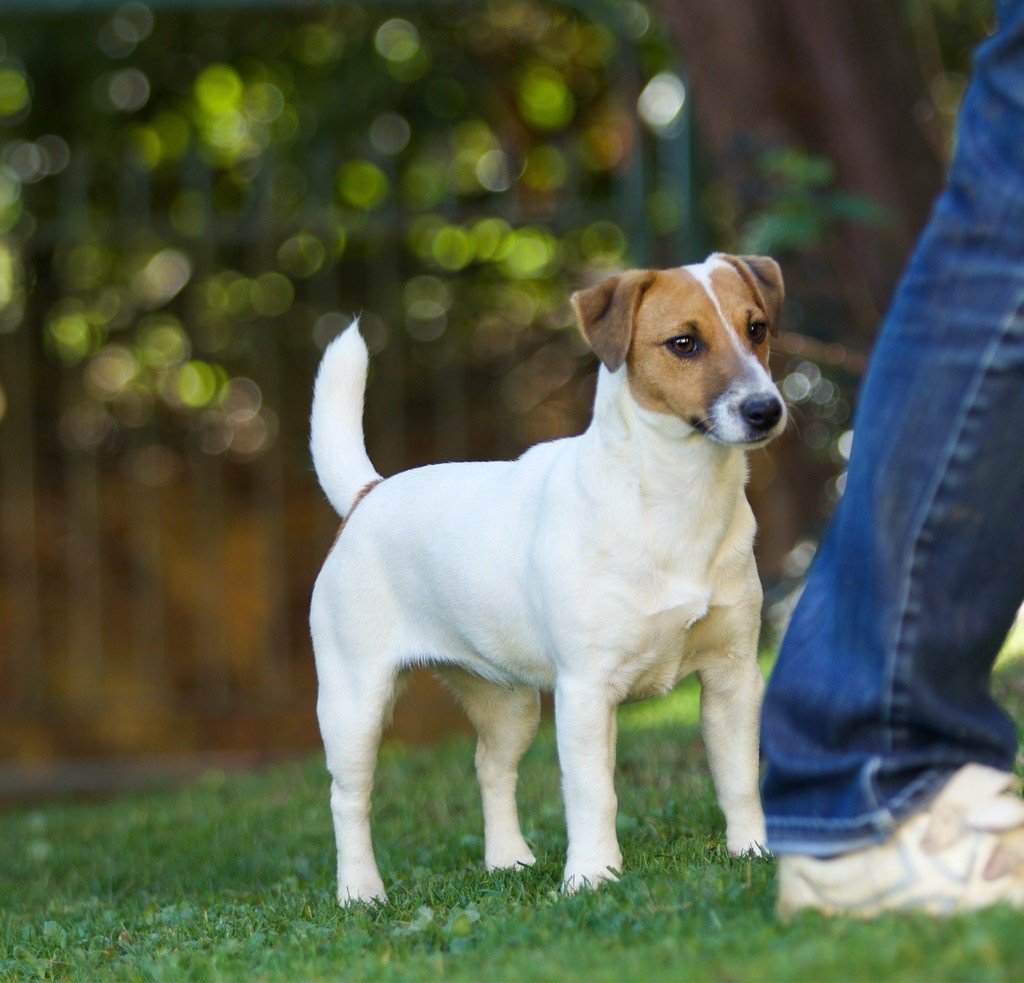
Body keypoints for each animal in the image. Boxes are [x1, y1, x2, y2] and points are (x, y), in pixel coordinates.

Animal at [309, 249, 782, 901]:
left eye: (756, 328)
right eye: (684, 343)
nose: (767, 410)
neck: (675, 503)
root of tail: (367, 494)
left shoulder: (733, 677)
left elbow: (738, 778)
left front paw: (753, 853)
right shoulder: (585, 691)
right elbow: (592, 794)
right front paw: (592, 876)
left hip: (509, 701)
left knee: (490, 767)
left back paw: (508, 860)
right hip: (354, 702)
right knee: (347, 797)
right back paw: (360, 892)